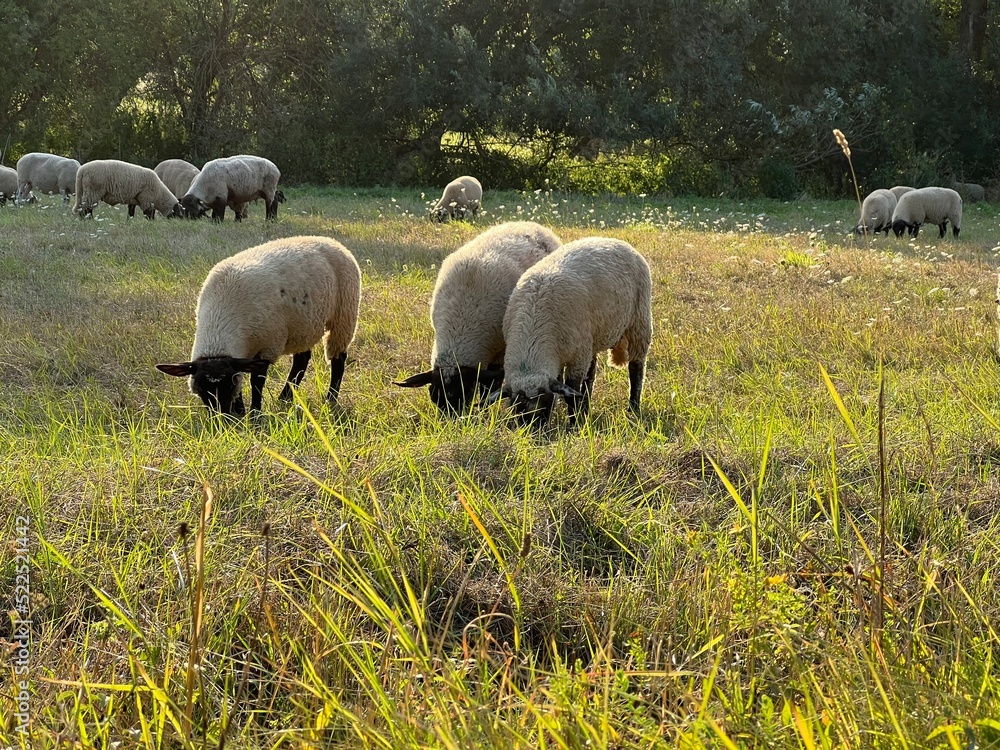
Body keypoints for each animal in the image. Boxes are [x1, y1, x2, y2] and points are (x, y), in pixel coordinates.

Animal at [156, 236, 361, 415]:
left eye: (228, 384)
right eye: (199, 387)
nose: (222, 418)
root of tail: (331, 241)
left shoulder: (268, 346)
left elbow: (257, 381)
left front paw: (255, 413)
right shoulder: (241, 354)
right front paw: (240, 411)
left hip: (345, 315)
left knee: (338, 359)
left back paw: (330, 398)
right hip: (304, 324)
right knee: (302, 359)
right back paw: (285, 397)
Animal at [394, 221, 562, 414]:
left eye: (466, 391)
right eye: (433, 396)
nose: (453, 420)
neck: (461, 324)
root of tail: (529, 223)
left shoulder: (498, 353)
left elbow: (488, 389)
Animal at [501, 236, 652, 430]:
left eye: (544, 404)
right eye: (517, 409)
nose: (534, 433)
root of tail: (614, 240)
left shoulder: (577, 357)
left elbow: (570, 392)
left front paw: (574, 425)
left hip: (639, 321)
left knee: (636, 369)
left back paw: (633, 408)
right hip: (593, 337)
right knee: (591, 374)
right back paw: (586, 408)